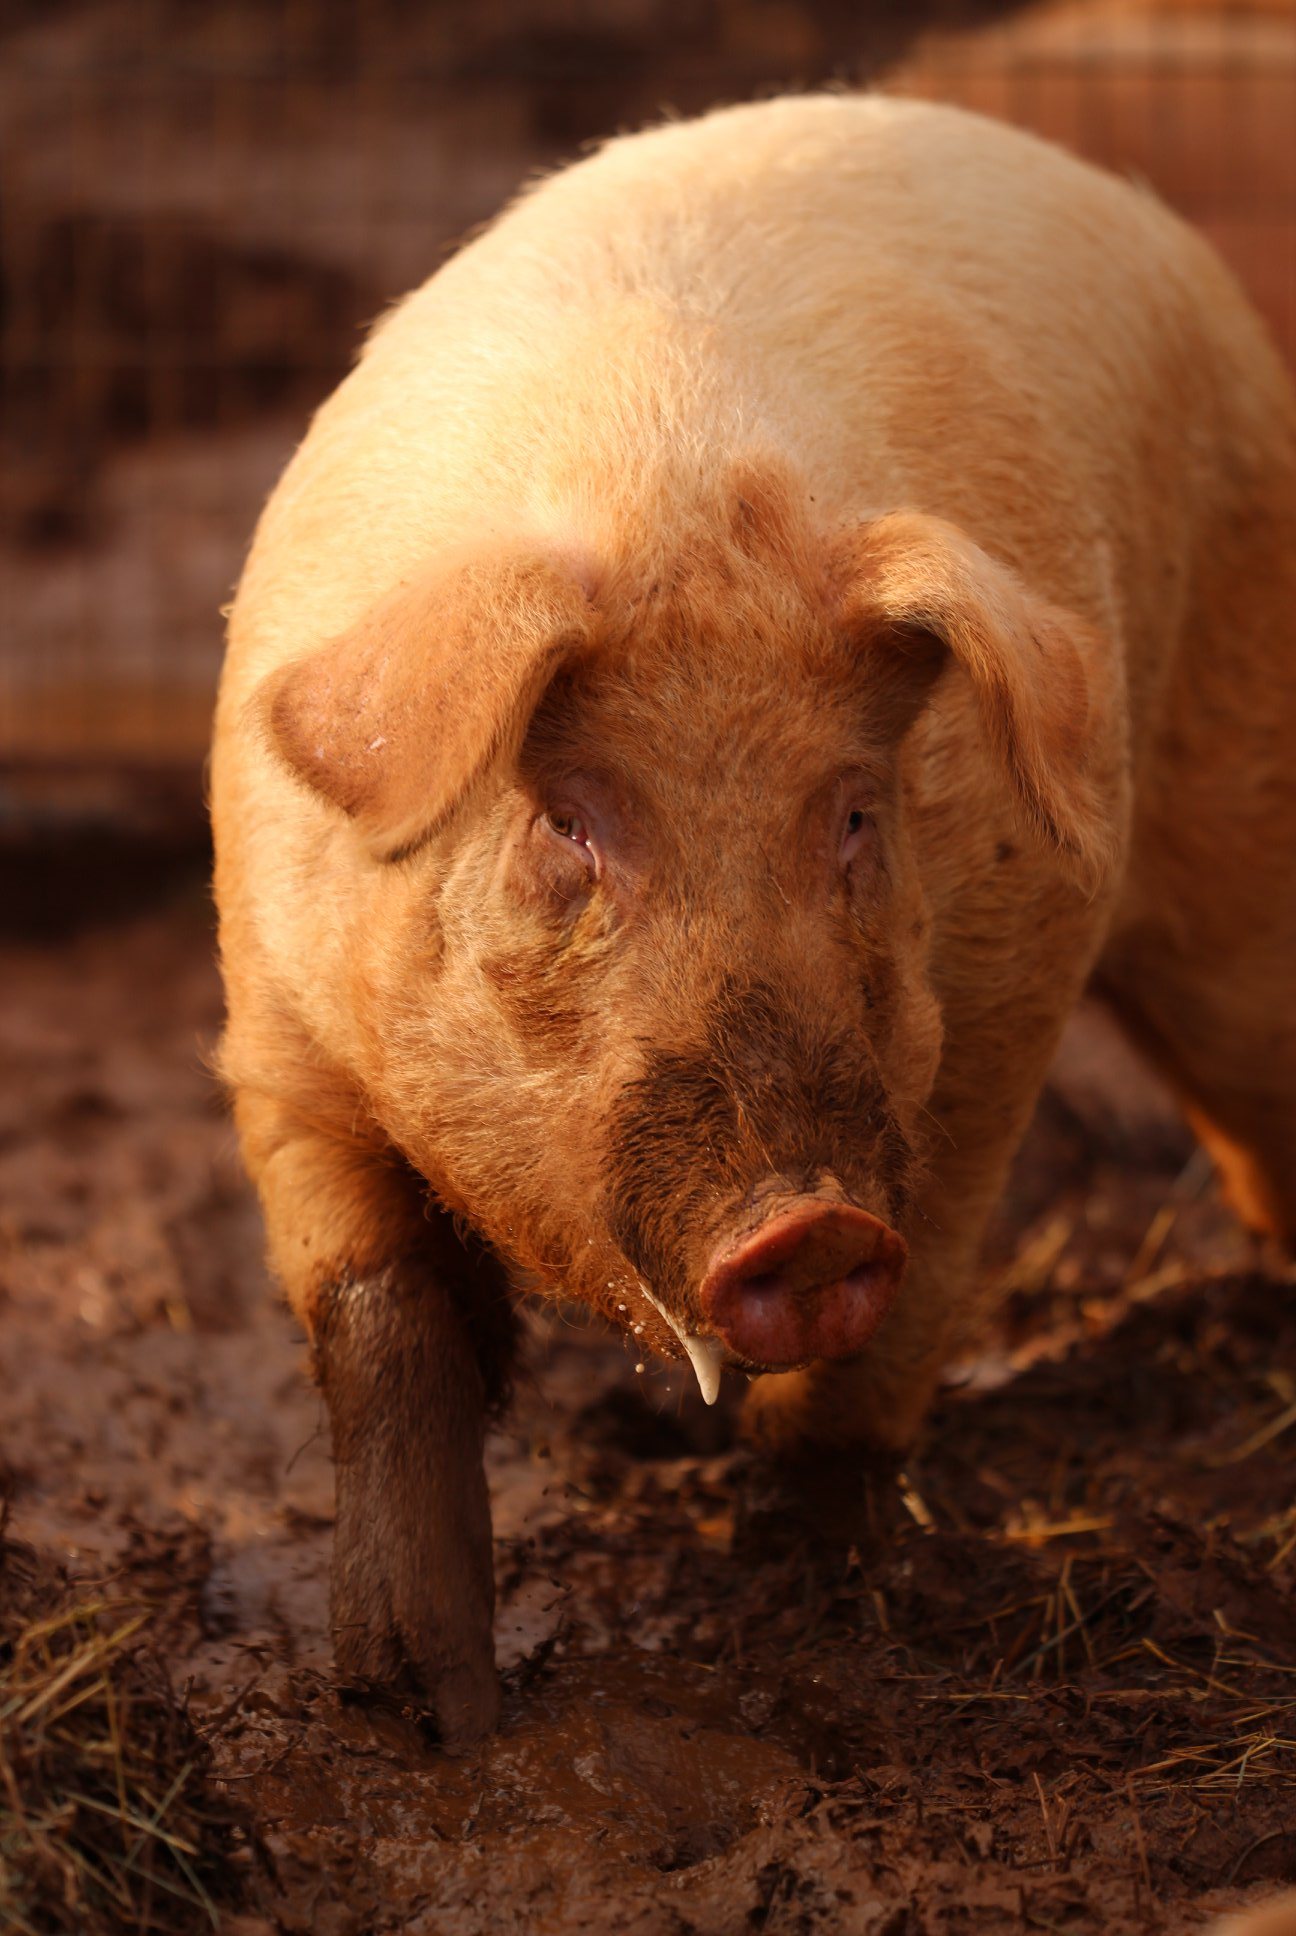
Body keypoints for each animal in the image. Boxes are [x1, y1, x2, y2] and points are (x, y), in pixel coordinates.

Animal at [211, 94, 1296, 1746]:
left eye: (852, 814)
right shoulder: (276, 1033)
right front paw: (425, 1711)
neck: (657, 475)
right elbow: (386, 1332)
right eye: (566, 819)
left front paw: (820, 1605)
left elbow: (890, 1344)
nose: (805, 1221)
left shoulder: (1004, 1013)